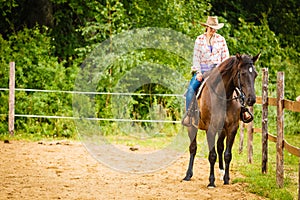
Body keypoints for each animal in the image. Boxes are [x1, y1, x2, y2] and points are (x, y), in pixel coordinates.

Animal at [182, 52, 262, 188]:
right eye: (243, 73)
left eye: (255, 74)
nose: (251, 99)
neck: (222, 97)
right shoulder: (210, 129)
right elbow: (212, 155)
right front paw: (211, 181)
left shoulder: (232, 128)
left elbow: (227, 154)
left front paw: (226, 179)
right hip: (192, 127)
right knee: (193, 148)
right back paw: (188, 175)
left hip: (222, 130)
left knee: (220, 147)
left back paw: (221, 172)